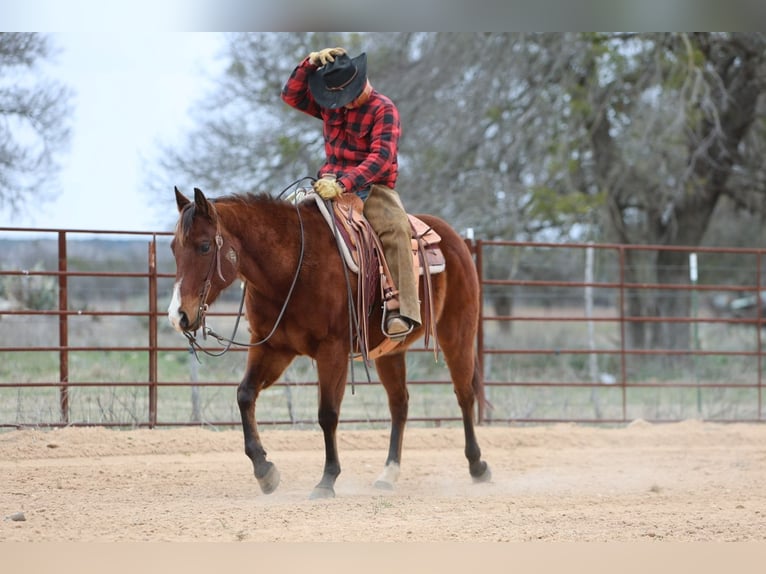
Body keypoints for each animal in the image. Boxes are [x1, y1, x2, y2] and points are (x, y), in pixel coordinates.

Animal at [168, 188, 492, 500]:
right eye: (173, 248)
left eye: (205, 246)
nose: (177, 315)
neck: (294, 266)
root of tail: (453, 238)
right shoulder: (271, 347)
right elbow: (245, 395)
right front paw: (264, 470)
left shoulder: (332, 350)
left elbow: (327, 413)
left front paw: (327, 480)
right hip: (390, 353)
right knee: (399, 404)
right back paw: (388, 474)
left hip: (457, 334)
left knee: (464, 395)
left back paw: (477, 466)